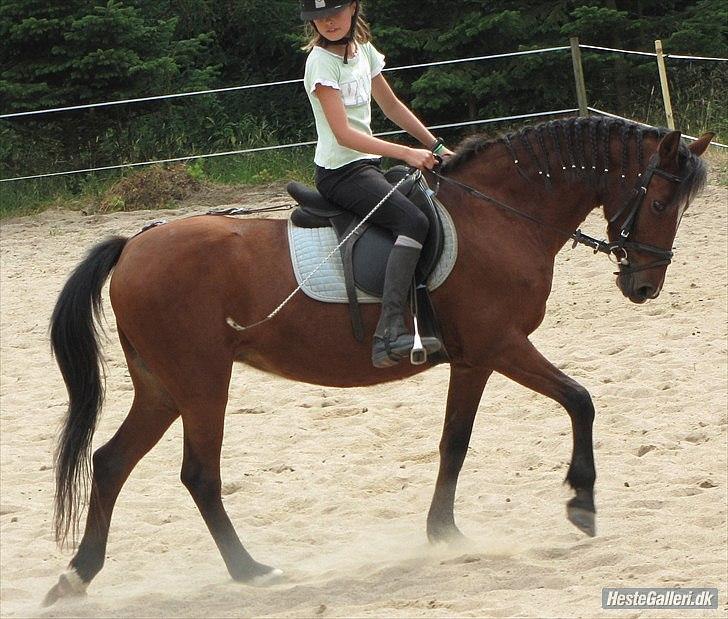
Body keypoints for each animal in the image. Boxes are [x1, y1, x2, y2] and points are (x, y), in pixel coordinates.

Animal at [41, 116, 712, 604]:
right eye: (659, 203)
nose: (645, 287)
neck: (498, 215)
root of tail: (133, 245)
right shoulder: (501, 345)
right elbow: (580, 399)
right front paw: (581, 502)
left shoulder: (472, 361)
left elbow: (455, 442)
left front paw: (443, 534)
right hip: (203, 385)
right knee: (198, 476)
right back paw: (250, 570)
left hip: (163, 388)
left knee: (110, 463)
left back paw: (76, 578)